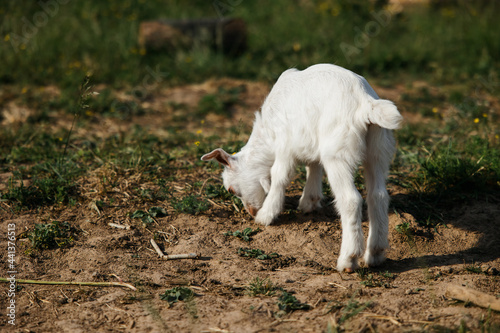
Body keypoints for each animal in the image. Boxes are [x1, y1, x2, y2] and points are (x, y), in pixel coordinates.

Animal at [201, 63, 400, 272]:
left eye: (231, 190)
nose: (252, 211)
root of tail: (365, 103)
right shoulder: (309, 141)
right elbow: (312, 166)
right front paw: (309, 202)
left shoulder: (284, 144)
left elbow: (279, 175)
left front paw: (265, 215)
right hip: (379, 149)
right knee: (378, 195)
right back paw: (375, 254)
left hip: (338, 152)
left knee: (351, 200)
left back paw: (348, 259)